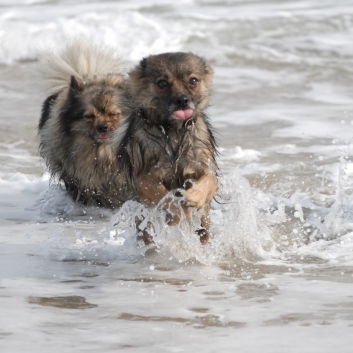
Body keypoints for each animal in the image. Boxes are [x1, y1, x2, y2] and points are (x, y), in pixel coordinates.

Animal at [118, 52, 217, 243]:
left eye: (193, 81)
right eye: (162, 83)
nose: (183, 100)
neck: (173, 130)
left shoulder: (205, 167)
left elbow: (207, 181)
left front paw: (193, 196)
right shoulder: (145, 180)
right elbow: (165, 196)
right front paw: (178, 213)